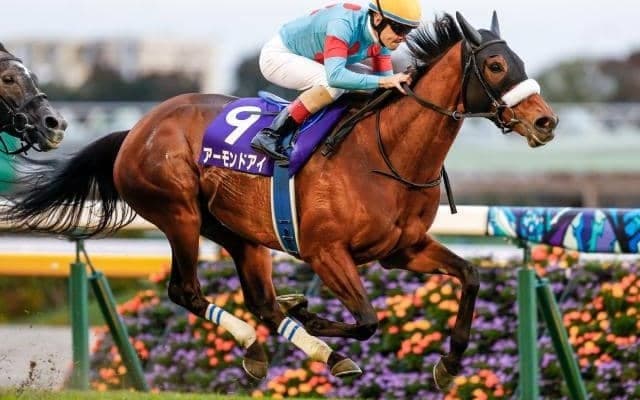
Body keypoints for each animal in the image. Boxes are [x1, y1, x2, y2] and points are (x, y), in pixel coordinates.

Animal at [0, 12, 557, 390]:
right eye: (496, 64)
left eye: (519, 61)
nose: (546, 121)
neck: (385, 151)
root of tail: (137, 129)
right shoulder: (326, 251)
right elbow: (367, 320)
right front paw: (311, 315)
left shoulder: (403, 249)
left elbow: (471, 275)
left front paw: (450, 362)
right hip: (179, 214)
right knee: (187, 291)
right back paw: (281, 342)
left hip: (238, 232)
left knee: (261, 302)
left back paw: (289, 343)